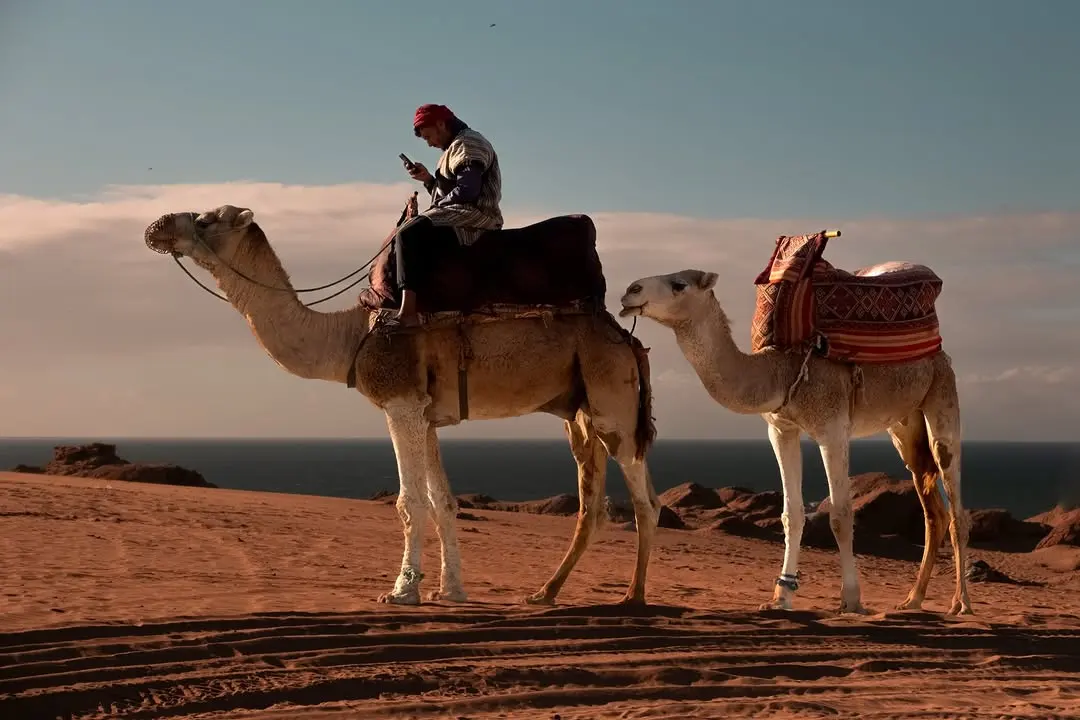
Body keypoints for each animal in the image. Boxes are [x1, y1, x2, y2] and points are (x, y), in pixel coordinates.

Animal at [143, 204, 662, 607]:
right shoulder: (426, 414)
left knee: (644, 499)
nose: (157, 225)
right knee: (592, 503)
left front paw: (401, 592)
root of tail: (625, 337)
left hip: (612, 400)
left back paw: (633, 598)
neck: (351, 336)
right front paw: (449, 591)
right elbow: (443, 502)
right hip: (581, 411)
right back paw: (545, 593)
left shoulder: (401, 403)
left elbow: (409, 502)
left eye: (206, 219)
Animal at [619, 264, 973, 616]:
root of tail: (939, 351)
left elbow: (840, 515)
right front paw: (780, 597)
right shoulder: (781, 429)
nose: (630, 291)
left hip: (942, 395)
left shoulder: (832, 428)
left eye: (679, 284)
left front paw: (852, 600)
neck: (781, 372)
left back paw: (961, 604)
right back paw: (912, 600)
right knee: (933, 510)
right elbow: (791, 514)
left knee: (955, 506)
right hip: (905, 423)